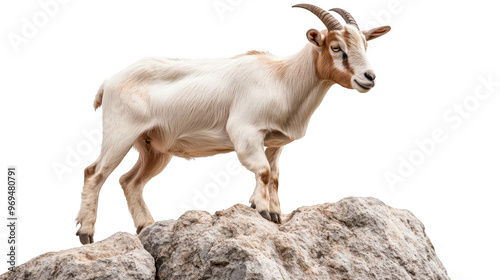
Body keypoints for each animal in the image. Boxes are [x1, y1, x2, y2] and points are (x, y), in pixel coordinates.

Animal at [76, 4, 392, 245]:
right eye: (336, 47)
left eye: (365, 45)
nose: (369, 77)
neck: (283, 79)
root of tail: (109, 82)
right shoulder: (245, 132)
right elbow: (262, 171)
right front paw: (263, 210)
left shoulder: (274, 142)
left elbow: (274, 176)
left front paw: (275, 213)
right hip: (121, 133)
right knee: (95, 173)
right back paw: (86, 233)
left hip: (154, 148)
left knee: (130, 181)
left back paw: (146, 226)